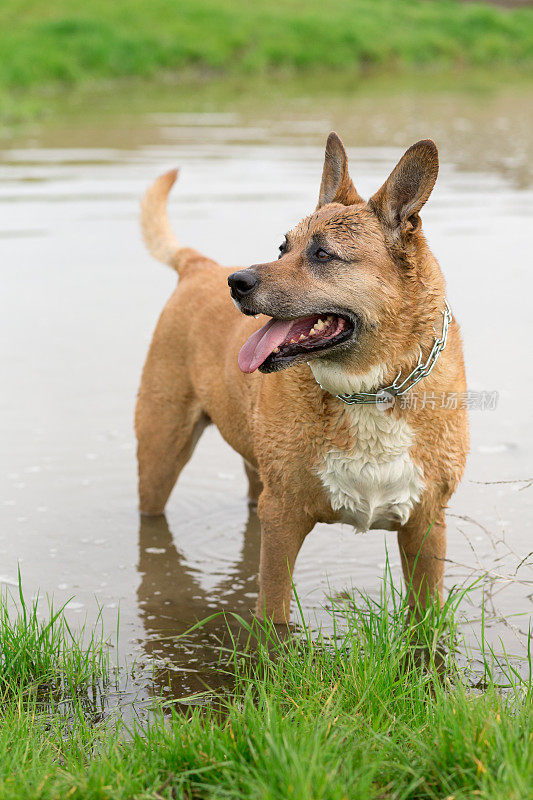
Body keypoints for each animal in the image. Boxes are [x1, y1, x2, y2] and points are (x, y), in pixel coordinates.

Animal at [135, 134, 468, 624]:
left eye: (323, 254)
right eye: (282, 248)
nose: (236, 282)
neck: (368, 390)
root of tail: (199, 265)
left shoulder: (427, 523)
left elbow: (426, 621)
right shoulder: (283, 518)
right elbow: (273, 616)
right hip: (160, 456)